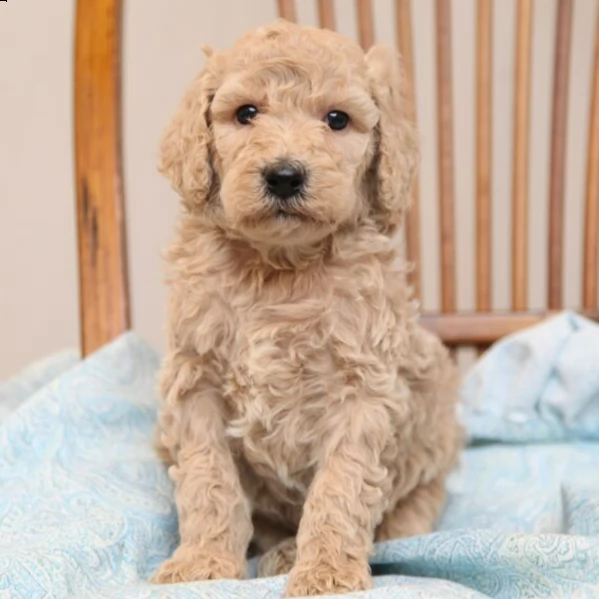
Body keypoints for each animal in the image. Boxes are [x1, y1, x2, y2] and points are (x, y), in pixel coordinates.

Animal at [152, 19, 462, 599]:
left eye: (337, 119)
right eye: (246, 113)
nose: (284, 175)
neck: (280, 268)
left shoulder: (362, 389)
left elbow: (341, 483)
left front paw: (327, 570)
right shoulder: (196, 383)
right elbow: (208, 478)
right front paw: (203, 561)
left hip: (432, 425)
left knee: (412, 506)